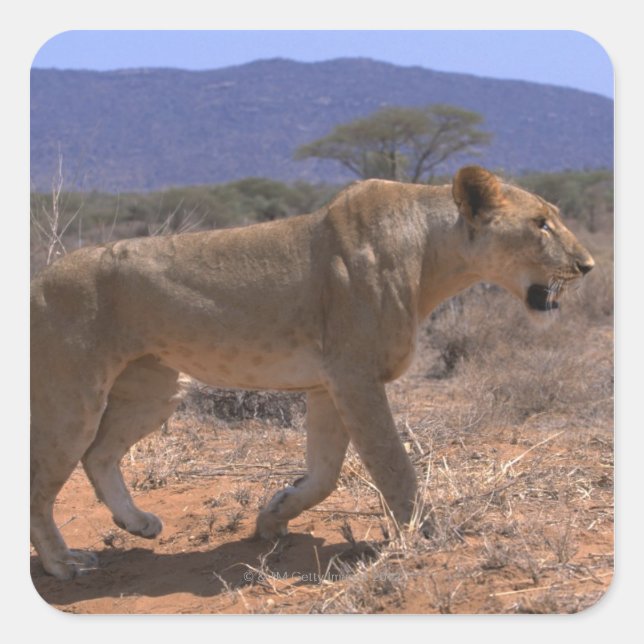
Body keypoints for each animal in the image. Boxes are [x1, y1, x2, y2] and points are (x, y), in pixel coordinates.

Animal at [30, 166, 594, 579]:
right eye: (541, 223)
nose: (588, 265)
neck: (433, 254)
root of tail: (39, 277)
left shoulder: (328, 385)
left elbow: (324, 475)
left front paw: (273, 515)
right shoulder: (355, 376)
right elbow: (394, 466)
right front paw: (430, 535)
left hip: (156, 389)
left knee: (99, 454)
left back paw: (137, 524)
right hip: (71, 396)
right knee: (41, 480)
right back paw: (63, 564)